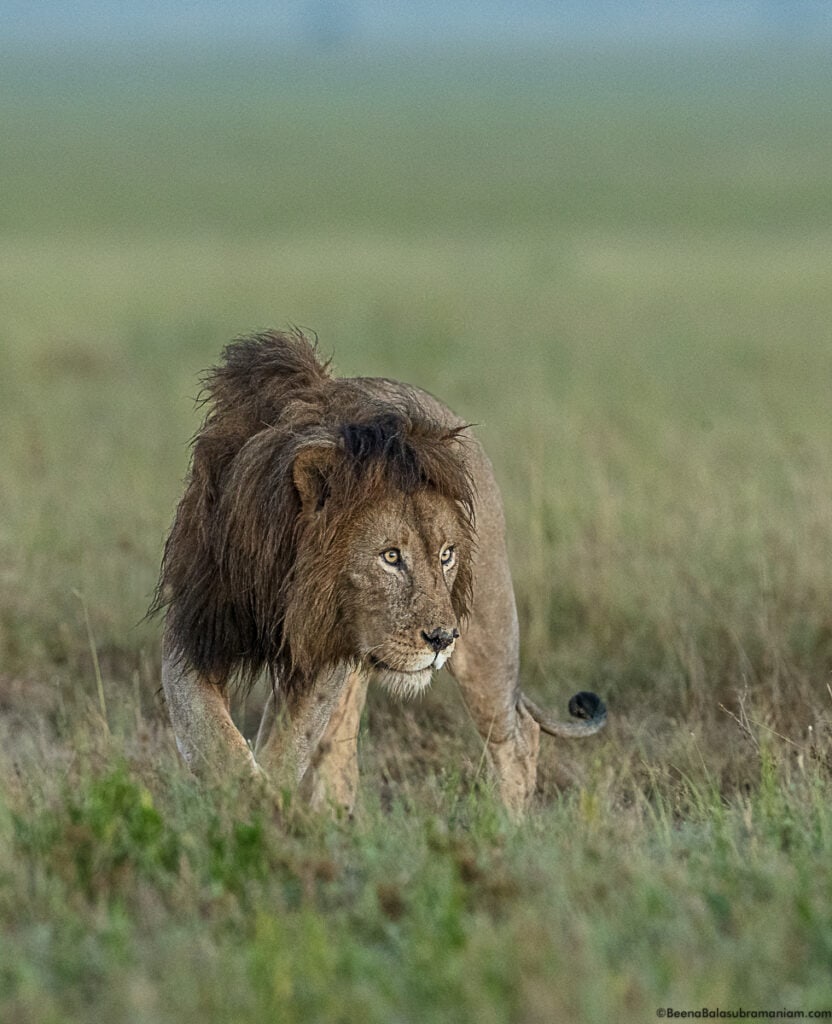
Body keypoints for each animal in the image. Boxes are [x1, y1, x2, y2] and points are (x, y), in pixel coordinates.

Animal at [152, 331, 602, 819]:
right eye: (390, 557)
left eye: (446, 555)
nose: (441, 639)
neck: (282, 579)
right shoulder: (195, 630)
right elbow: (211, 736)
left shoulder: (322, 653)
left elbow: (288, 745)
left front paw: (266, 810)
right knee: (341, 751)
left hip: (487, 625)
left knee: (516, 735)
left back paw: (506, 826)